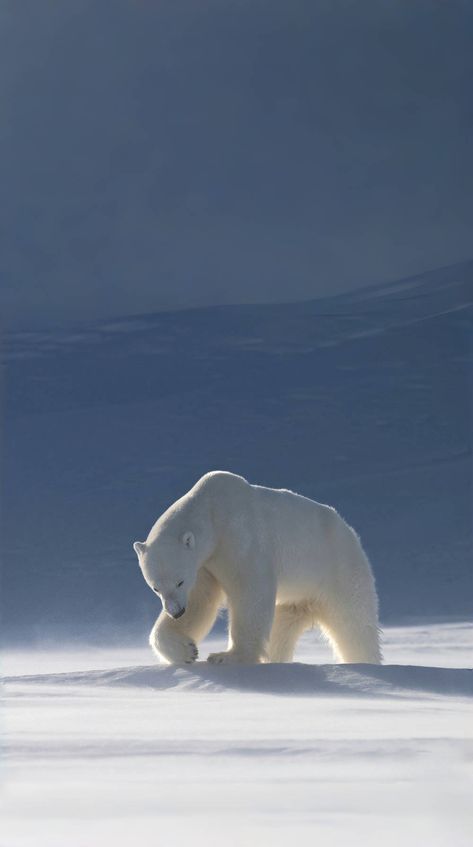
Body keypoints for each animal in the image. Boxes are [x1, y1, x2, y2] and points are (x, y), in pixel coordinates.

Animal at [132, 474, 380, 664]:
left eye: (180, 581)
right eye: (155, 587)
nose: (176, 612)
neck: (212, 510)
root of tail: (349, 531)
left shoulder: (240, 536)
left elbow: (250, 591)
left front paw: (227, 656)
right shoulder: (205, 563)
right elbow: (200, 601)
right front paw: (187, 651)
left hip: (338, 570)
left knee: (354, 623)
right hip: (297, 597)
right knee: (282, 629)